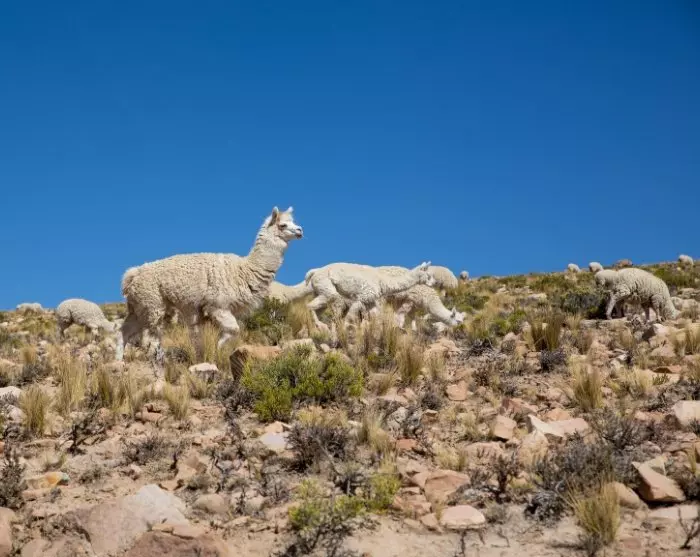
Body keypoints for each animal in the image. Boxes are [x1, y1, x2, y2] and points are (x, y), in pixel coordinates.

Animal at [120, 206, 303, 359]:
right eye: (283, 225)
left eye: (293, 222)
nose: (300, 230)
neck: (244, 270)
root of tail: (132, 274)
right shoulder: (218, 306)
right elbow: (233, 329)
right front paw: (218, 347)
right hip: (153, 305)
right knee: (150, 341)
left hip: (141, 307)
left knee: (124, 331)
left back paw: (119, 361)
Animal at [304, 261, 435, 329]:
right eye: (428, 275)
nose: (434, 282)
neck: (382, 281)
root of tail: (315, 271)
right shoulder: (362, 298)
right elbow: (350, 316)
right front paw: (346, 330)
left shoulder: (370, 302)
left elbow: (375, 317)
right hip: (326, 286)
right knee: (310, 305)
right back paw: (320, 324)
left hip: (320, 290)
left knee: (316, 307)